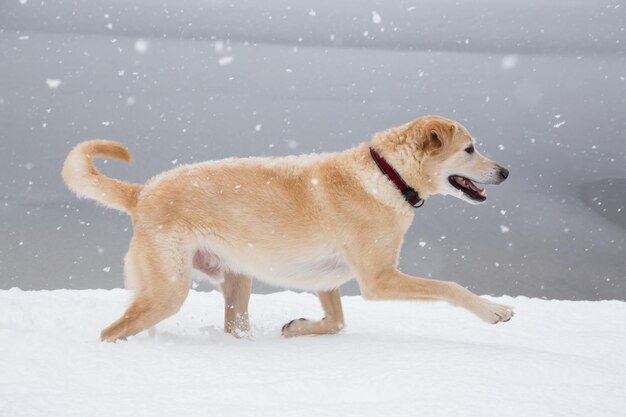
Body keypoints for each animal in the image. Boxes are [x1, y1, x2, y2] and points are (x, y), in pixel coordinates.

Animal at [62, 114, 512, 342]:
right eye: (470, 149)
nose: (506, 172)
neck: (387, 175)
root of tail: (143, 192)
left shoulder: (327, 282)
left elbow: (337, 321)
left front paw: (298, 328)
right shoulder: (380, 279)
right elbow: (450, 288)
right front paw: (494, 310)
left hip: (236, 282)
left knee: (233, 324)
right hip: (168, 291)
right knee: (111, 331)